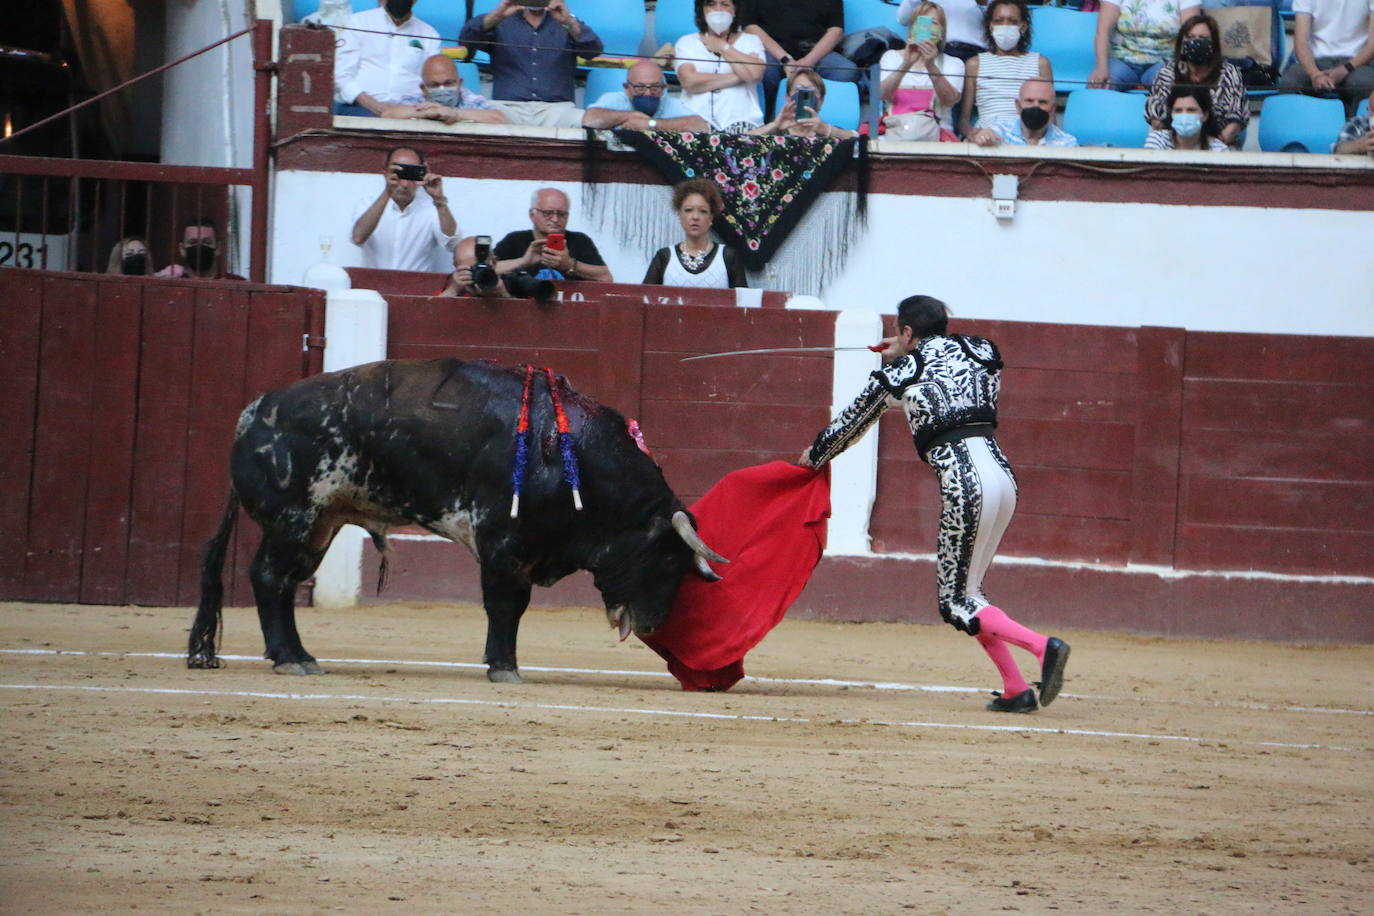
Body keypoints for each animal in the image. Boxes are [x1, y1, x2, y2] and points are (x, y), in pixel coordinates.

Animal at [193, 357, 730, 681]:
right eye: (666, 560)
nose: (654, 625)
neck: (571, 457)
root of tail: (252, 412)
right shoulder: (502, 544)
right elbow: (506, 606)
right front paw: (504, 667)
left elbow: (512, 607)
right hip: (294, 518)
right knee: (269, 577)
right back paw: (289, 660)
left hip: (321, 523)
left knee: (285, 584)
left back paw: (302, 656)